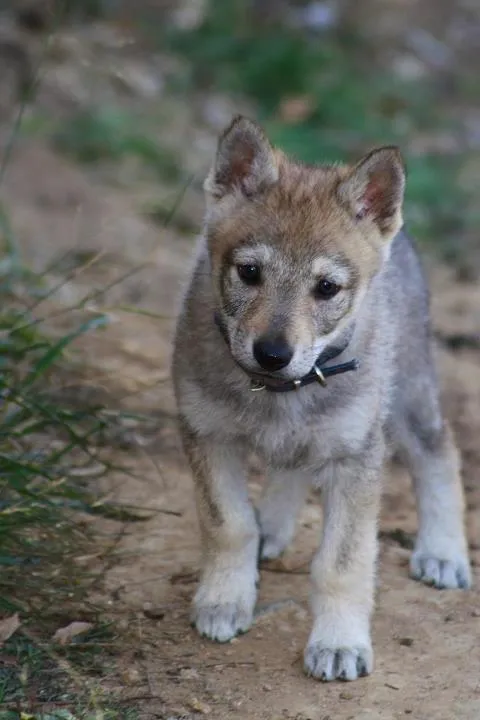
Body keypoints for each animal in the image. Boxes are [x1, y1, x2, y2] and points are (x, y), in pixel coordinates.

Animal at [171, 115, 471, 681]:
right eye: (249, 272)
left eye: (327, 288)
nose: (271, 354)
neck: (279, 393)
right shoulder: (207, 433)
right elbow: (229, 525)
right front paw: (224, 600)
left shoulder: (356, 456)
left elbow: (343, 562)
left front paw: (339, 643)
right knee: (288, 469)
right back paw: (270, 529)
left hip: (408, 399)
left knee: (440, 452)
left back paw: (443, 552)